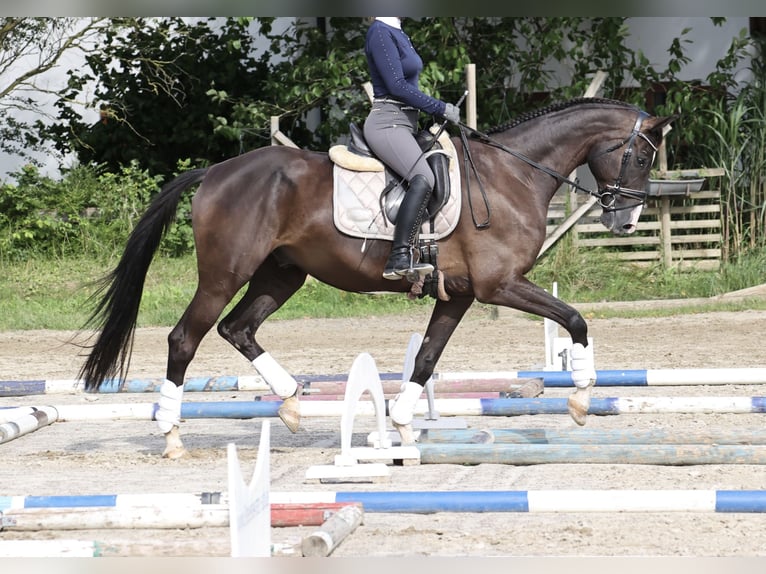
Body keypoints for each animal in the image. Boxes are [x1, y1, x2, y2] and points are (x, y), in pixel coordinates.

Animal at [78, 98, 676, 460]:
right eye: (642, 157)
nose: (627, 221)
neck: (514, 175)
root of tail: (216, 172)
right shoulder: (498, 286)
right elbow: (575, 318)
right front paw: (580, 398)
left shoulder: (459, 295)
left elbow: (427, 358)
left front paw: (404, 423)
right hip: (225, 273)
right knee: (186, 337)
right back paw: (172, 434)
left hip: (282, 274)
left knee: (238, 329)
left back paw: (291, 401)